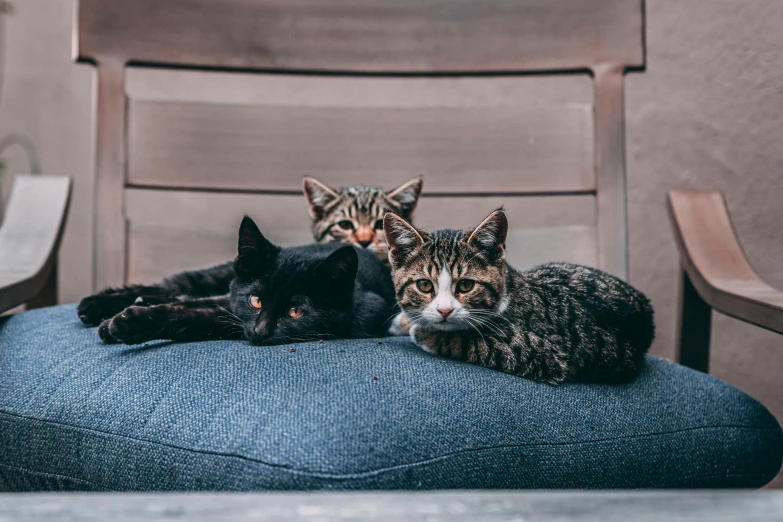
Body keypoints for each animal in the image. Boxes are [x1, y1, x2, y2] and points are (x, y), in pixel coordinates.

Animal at [94, 216, 396, 346]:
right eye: (256, 300)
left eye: (295, 311)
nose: (260, 332)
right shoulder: (234, 302)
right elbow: (190, 304)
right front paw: (116, 322)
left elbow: (193, 314)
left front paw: (122, 324)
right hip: (219, 274)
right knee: (180, 284)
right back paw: (94, 305)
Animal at [382, 207, 652, 382]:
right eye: (425, 285)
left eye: (466, 285)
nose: (444, 310)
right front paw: (406, 321)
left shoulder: (544, 352)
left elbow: (470, 341)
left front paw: (423, 332)